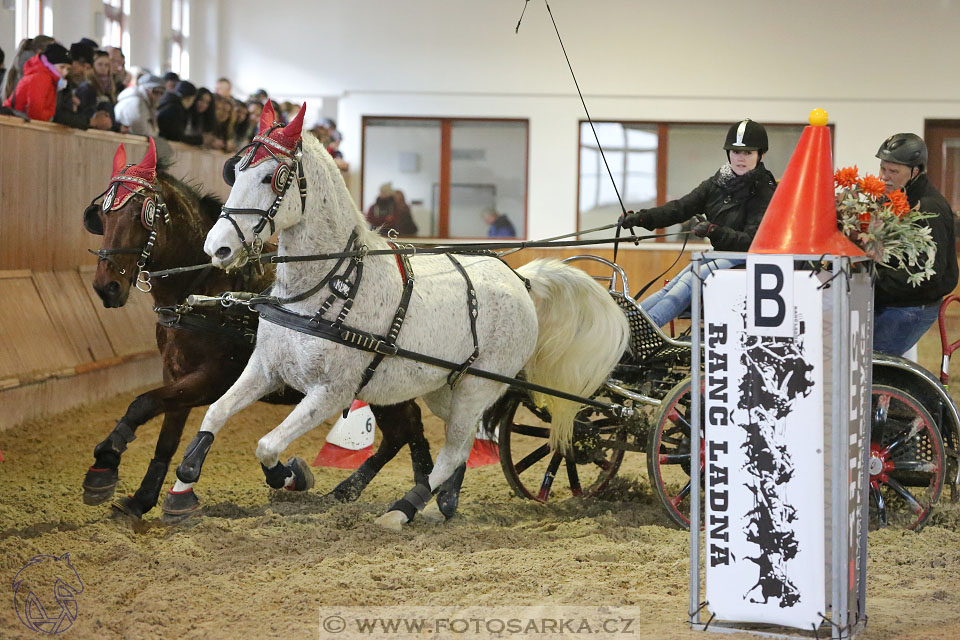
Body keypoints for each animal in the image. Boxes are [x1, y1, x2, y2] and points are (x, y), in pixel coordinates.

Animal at [81, 139, 436, 520]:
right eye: (102, 216)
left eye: (140, 213)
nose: (106, 287)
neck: (203, 289)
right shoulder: (175, 374)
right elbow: (166, 438)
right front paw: (143, 497)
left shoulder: (212, 379)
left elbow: (142, 403)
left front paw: (105, 461)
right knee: (403, 430)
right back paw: (367, 489)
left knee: (407, 427)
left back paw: (415, 491)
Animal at [169, 102, 632, 528]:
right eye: (235, 171)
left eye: (271, 178)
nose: (218, 247)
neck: (327, 284)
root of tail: (521, 279)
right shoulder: (266, 368)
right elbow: (215, 414)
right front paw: (182, 484)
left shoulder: (331, 392)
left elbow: (267, 445)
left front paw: (292, 475)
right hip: (445, 388)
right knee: (462, 442)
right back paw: (445, 500)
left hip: (478, 386)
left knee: (453, 449)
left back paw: (403, 509)